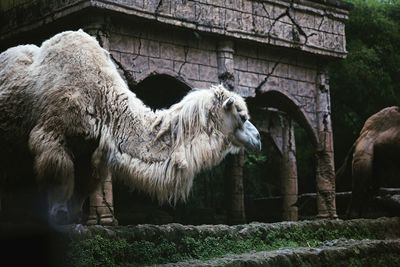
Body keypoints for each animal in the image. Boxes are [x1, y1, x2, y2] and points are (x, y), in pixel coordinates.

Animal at [0, 30, 260, 225]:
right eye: (242, 116)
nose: (258, 138)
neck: (101, 100)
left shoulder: (91, 149)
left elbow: (83, 185)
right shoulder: (51, 134)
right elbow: (57, 175)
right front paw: (58, 219)